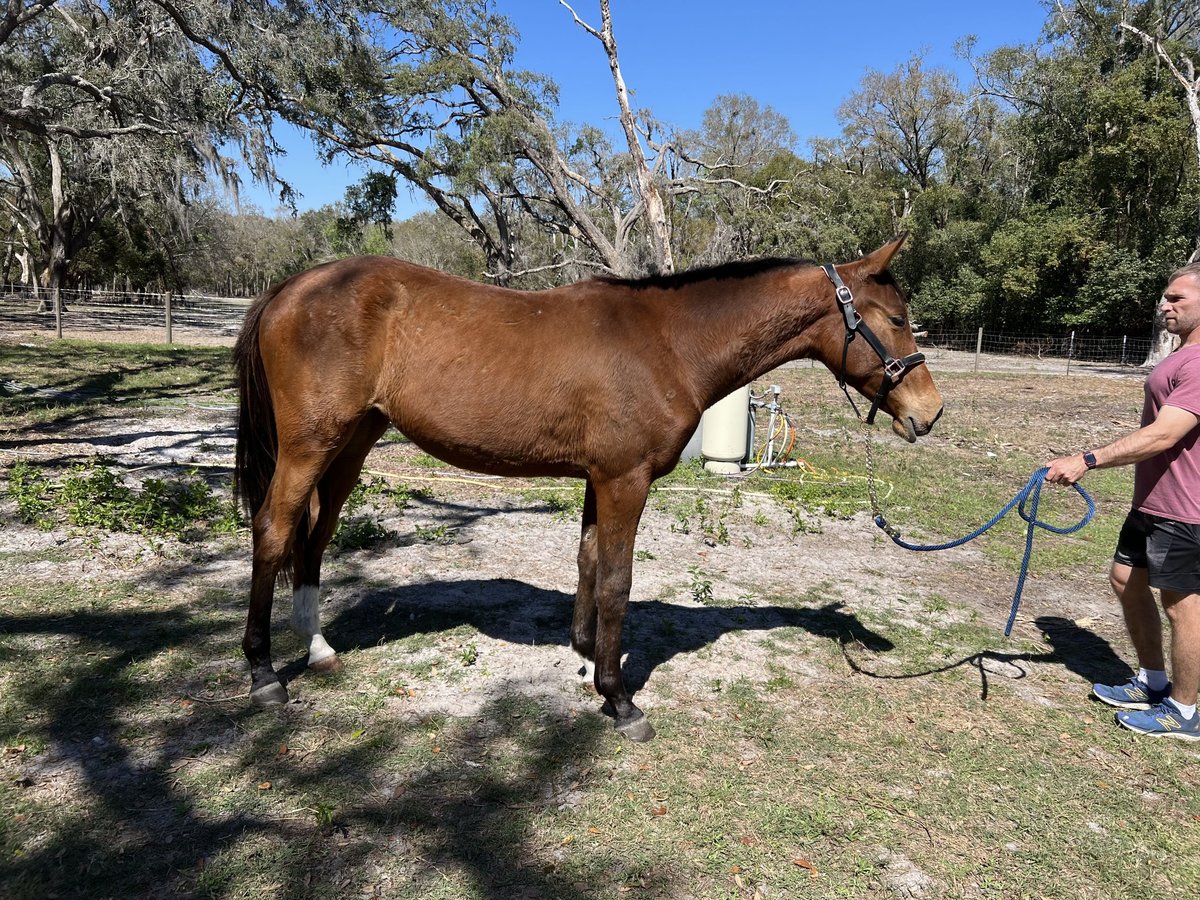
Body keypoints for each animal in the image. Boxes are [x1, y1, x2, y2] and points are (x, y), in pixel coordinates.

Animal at [234, 236, 940, 744]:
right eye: (898, 319)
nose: (929, 414)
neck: (668, 342)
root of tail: (291, 286)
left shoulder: (599, 481)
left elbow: (590, 563)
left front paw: (583, 657)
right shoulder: (625, 481)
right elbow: (618, 581)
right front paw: (618, 697)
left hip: (350, 445)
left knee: (315, 536)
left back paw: (318, 650)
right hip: (310, 444)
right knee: (274, 529)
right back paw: (264, 673)